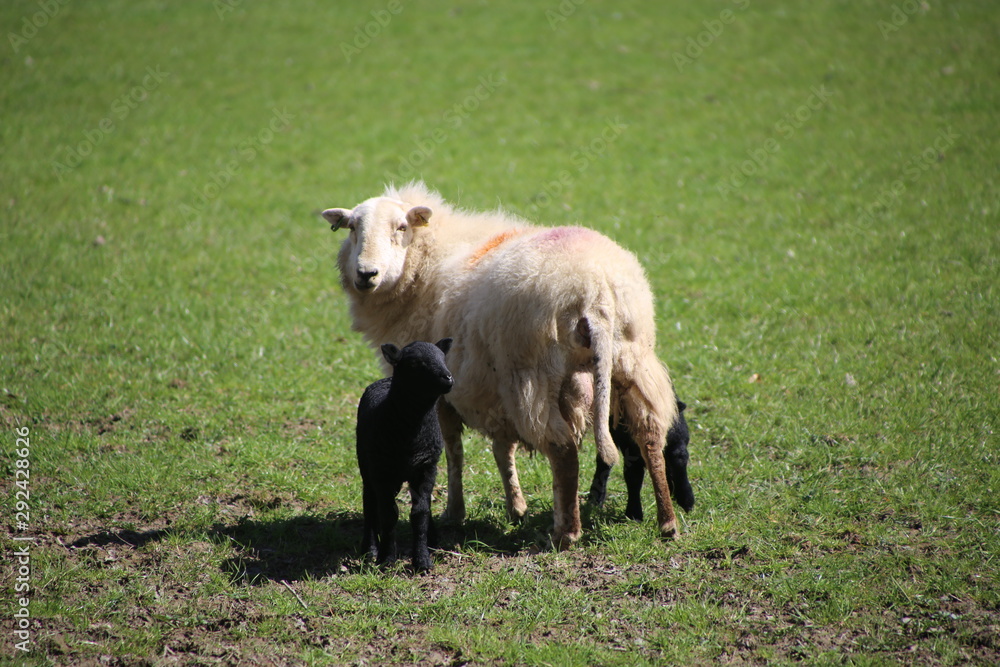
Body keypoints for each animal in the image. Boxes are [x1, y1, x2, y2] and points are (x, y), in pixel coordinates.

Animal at [356, 338, 454, 572]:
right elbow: (389, 513)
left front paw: (423, 559)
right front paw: (386, 559)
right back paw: (370, 548)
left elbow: (420, 512)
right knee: (369, 502)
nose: (448, 378)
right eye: (415, 363)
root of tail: (385, 379)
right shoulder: (381, 471)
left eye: (443, 357)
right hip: (366, 463)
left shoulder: (427, 467)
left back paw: (432, 540)